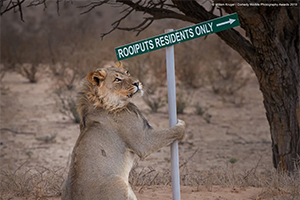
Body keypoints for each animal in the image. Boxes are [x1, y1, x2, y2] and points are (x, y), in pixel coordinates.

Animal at [61, 61, 185, 199]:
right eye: (117, 80)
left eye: (127, 72)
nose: (137, 83)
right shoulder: (144, 141)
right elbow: (172, 132)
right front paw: (181, 123)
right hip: (119, 183)